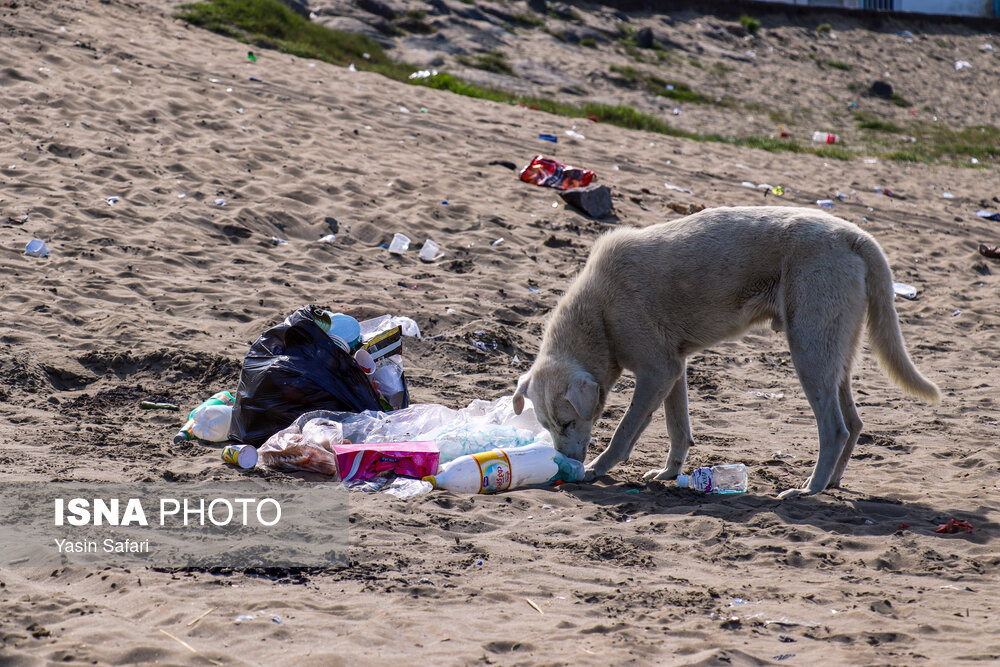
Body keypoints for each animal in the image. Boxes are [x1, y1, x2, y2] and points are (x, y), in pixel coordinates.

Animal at [512, 206, 940, 498]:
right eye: (547, 426)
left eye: (567, 423)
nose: (566, 466)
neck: (598, 314)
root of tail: (856, 236)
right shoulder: (673, 369)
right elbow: (678, 428)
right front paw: (669, 474)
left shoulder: (656, 370)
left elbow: (624, 431)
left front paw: (597, 468)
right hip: (834, 353)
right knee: (854, 422)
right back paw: (832, 481)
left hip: (809, 351)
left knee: (834, 428)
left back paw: (809, 489)